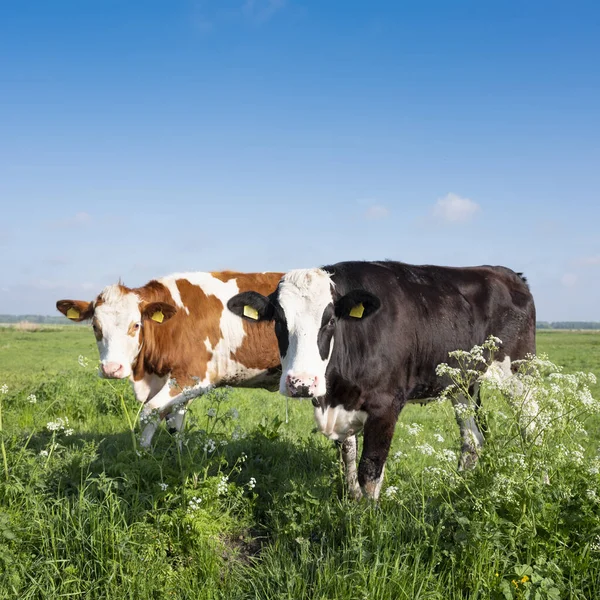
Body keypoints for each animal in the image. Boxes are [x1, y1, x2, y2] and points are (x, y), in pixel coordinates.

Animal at [56, 272, 282, 446]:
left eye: (136, 325)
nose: (111, 369)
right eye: (95, 326)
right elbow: (175, 424)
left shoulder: (193, 377)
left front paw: (143, 457)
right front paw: (179, 458)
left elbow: (149, 413)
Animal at [227, 260, 536, 500]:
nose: (301, 383)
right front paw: (351, 505)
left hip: (519, 373)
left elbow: (370, 472)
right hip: (463, 383)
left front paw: (368, 522)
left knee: (532, 427)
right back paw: (458, 490)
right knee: (473, 440)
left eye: (330, 321)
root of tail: (508, 274)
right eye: (278, 321)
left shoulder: (386, 405)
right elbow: (348, 462)